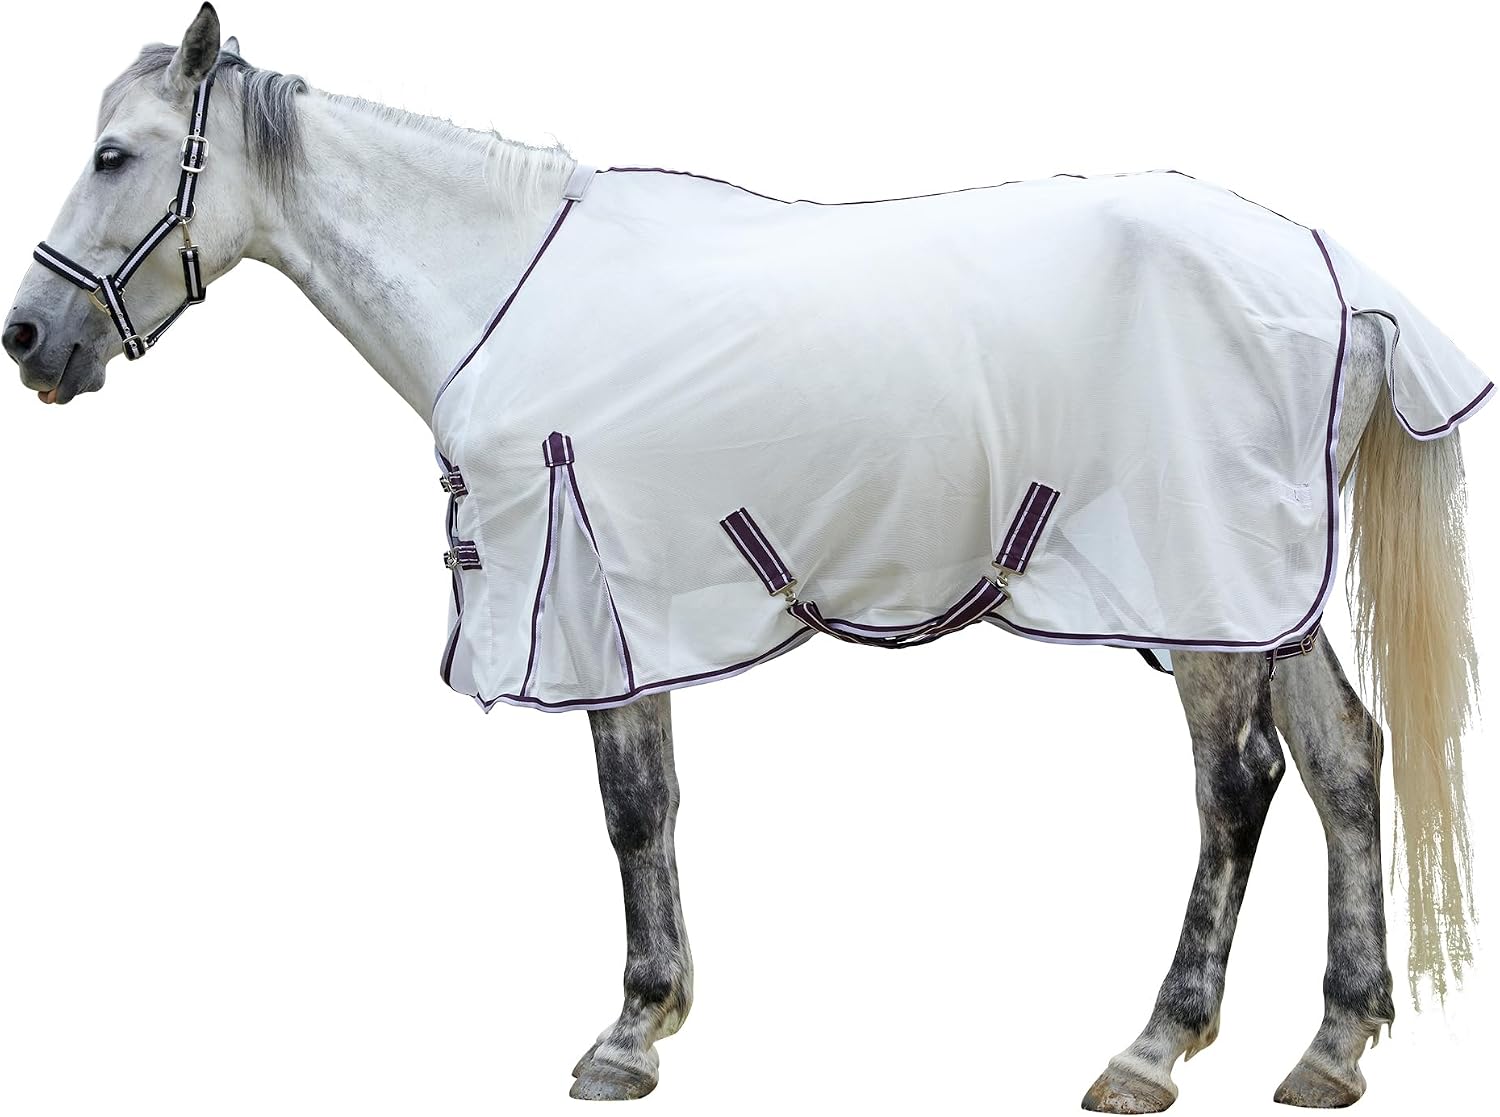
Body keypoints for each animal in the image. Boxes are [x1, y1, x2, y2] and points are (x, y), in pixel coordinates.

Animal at [4, 5, 1486, 1109]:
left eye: (117, 155)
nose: (29, 340)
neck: (501, 286)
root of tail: (1336, 276)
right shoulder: (627, 605)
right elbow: (655, 805)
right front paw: (655, 1017)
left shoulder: (591, 604)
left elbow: (629, 811)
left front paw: (625, 1033)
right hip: (1267, 594)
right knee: (1344, 761)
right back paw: (1332, 1046)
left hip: (1203, 595)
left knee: (1237, 788)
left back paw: (1153, 1047)